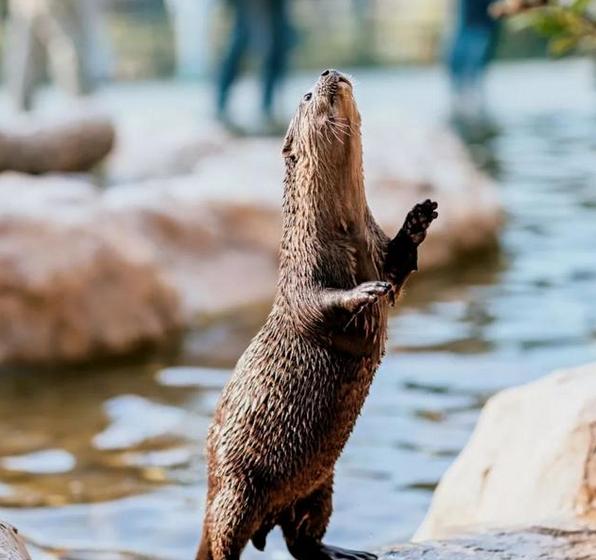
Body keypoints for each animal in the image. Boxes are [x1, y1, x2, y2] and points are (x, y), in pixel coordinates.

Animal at [199, 70, 438, 560]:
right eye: (307, 94)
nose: (329, 72)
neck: (343, 238)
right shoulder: (298, 279)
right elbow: (318, 306)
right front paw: (364, 291)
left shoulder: (378, 249)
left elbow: (399, 269)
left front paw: (419, 219)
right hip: (236, 486)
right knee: (222, 538)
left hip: (320, 485)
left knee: (301, 538)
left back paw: (344, 552)